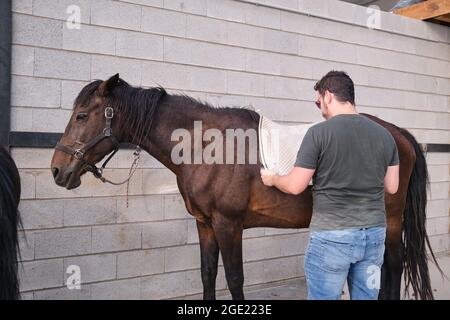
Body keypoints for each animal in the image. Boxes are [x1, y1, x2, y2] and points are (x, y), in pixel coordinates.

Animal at [50, 75, 440, 300]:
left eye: (82, 116)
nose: (57, 170)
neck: (205, 147)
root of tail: (397, 133)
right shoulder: (205, 224)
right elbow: (208, 276)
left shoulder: (228, 224)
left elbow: (234, 279)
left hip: (390, 220)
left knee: (392, 265)